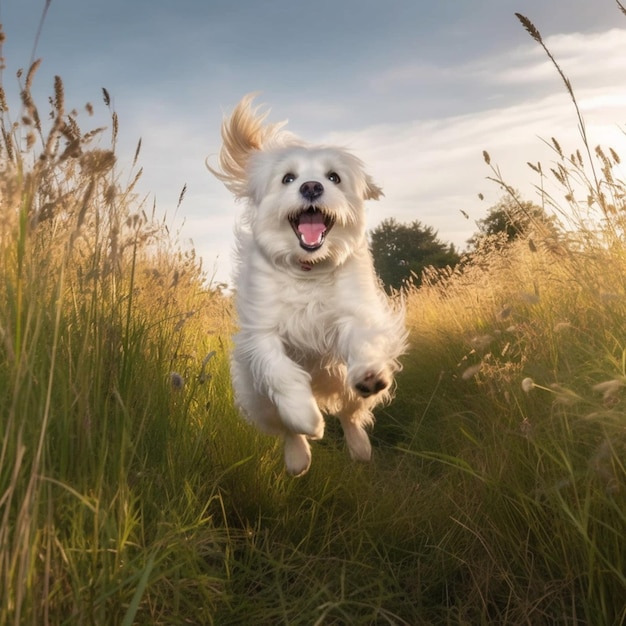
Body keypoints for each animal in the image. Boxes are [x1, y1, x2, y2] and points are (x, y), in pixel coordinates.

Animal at [207, 94, 408, 472]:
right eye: (288, 178)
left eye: (334, 177)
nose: (312, 186)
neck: (307, 270)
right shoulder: (262, 334)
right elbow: (282, 375)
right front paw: (307, 419)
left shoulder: (354, 313)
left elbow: (362, 341)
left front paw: (368, 373)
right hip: (257, 400)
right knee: (287, 430)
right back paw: (298, 459)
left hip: (346, 387)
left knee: (350, 413)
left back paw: (359, 447)